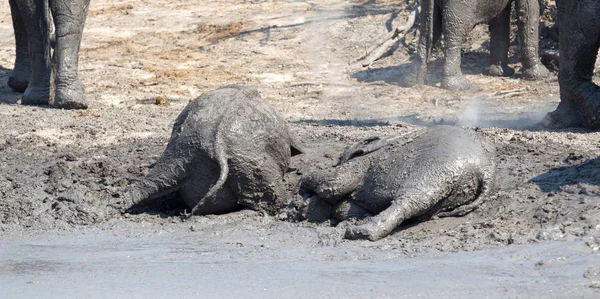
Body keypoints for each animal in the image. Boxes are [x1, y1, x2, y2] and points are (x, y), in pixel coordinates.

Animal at [300, 126, 496, 241]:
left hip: (436, 170)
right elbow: (343, 208)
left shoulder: (364, 162)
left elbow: (333, 184)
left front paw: (303, 187)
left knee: (411, 201)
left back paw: (359, 233)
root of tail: (486, 169)